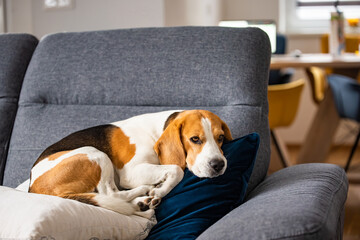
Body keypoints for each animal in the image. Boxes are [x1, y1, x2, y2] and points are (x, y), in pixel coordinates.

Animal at [28, 109, 232, 218]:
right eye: (195, 139)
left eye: (221, 138)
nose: (218, 164)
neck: (157, 131)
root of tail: (33, 188)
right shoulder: (131, 173)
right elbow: (177, 169)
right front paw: (161, 189)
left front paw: (160, 186)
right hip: (95, 154)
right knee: (110, 194)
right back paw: (144, 191)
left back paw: (141, 202)